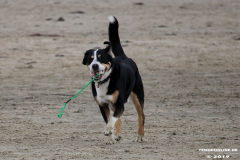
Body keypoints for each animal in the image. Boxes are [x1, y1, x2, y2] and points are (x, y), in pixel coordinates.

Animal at [81, 15, 145, 144]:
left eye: (101, 58)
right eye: (90, 59)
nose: (95, 65)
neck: (105, 81)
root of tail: (123, 57)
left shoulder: (120, 104)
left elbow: (113, 119)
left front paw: (109, 130)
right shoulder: (103, 105)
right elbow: (109, 119)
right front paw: (111, 137)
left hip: (137, 95)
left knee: (141, 115)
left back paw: (140, 135)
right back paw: (117, 135)